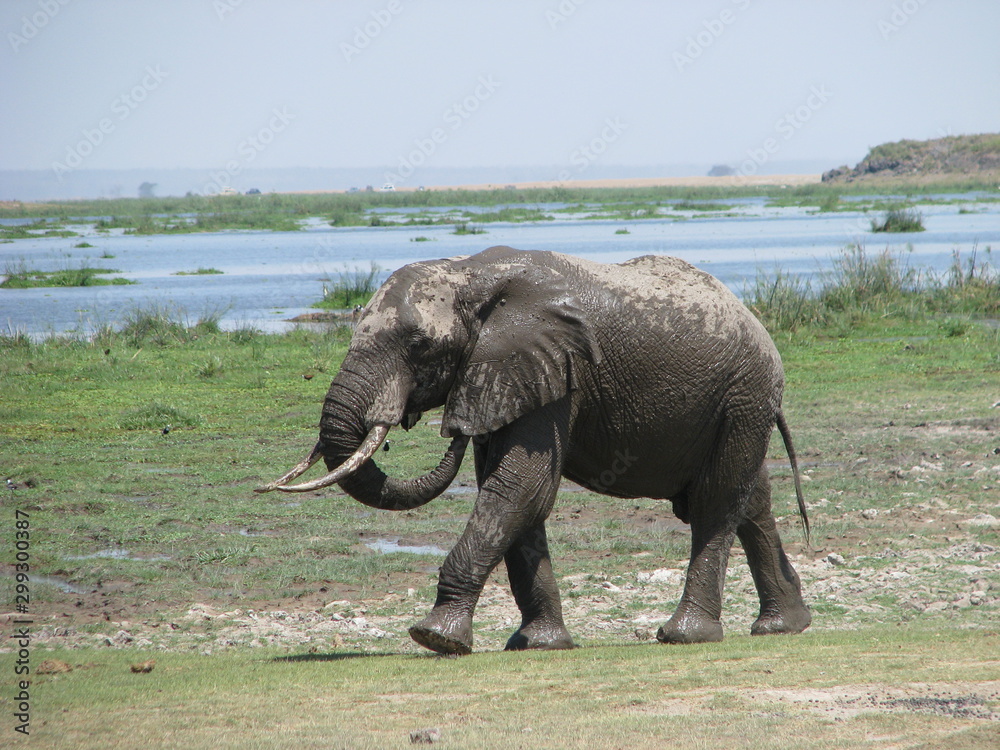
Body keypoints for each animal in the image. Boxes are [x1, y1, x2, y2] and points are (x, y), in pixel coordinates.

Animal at [258, 245, 811, 655]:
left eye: (420, 345)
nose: (450, 428)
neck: (469, 274)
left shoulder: (550, 367)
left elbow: (520, 487)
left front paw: (435, 638)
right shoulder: (510, 377)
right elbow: (515, 495)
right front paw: (538, 644)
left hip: (744, 394)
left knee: (716, 501)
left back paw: (685, 635)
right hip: (736, 406)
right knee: (750, 498)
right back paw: (784, 626)